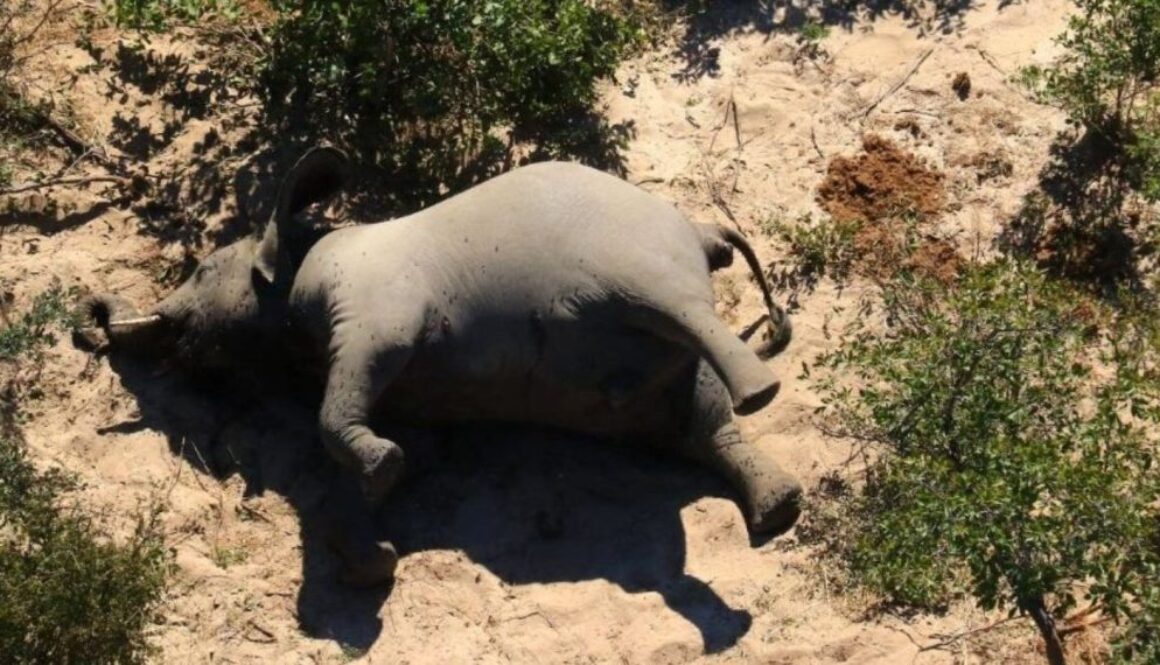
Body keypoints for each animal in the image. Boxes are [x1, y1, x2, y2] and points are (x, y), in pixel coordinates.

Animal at [78, 148, 801, 586]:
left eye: (202, 270)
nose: (90, 319)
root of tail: (703, 230)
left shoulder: (374, 307)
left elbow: (338, 408)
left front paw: (377, 477)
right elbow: (395, 452)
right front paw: (371, 549)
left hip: (641, 261)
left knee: (683, 319)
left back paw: (763, 396)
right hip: (655, 374)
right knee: (700, 423)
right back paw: (780, 510)